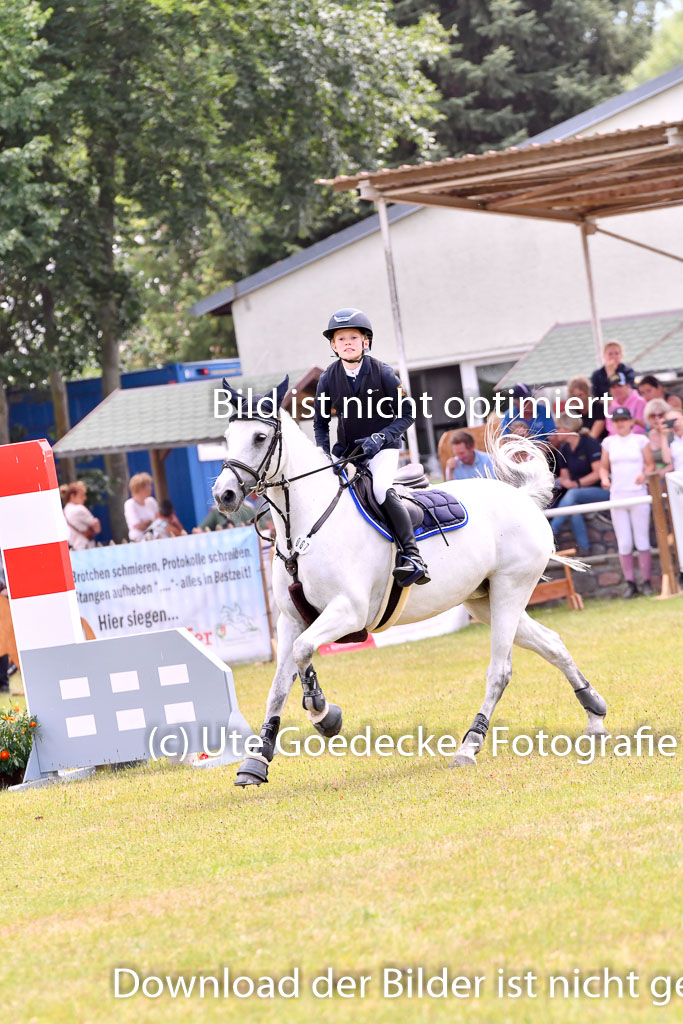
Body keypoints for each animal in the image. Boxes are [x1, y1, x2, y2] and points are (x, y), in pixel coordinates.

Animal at [214, 380, 610, 786]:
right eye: (227, 438)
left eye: (260, 437)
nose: (223, 495)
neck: (304, 528)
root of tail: (522, 498)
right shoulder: (291, 620)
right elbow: (279, 686)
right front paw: (256, 761)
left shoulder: (349, 611)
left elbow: (304, 651)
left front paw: (324, 714)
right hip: (484, 600)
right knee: (552, 644)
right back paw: (594, 715)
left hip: (510, 590)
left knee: (500, 671)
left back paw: (469, 746)